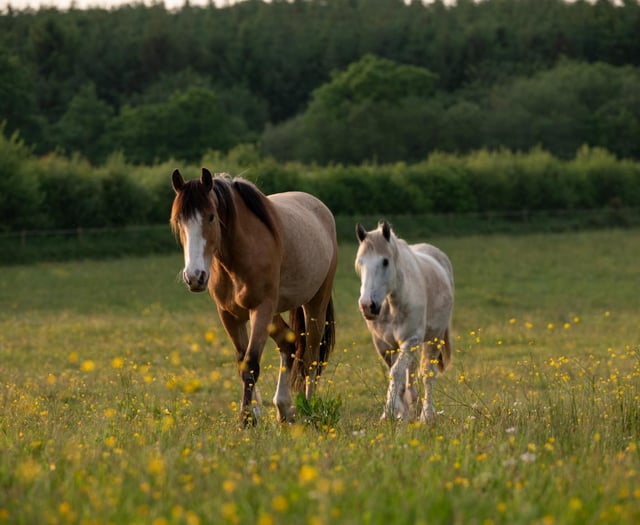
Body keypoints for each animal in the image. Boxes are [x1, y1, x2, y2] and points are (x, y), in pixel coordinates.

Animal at [171, 168, 338, 425]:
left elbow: (251, 364)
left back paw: (308, 407)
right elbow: (242, 361)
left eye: (211, 217)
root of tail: (321, 209)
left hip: (314, 302)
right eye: (179, 220)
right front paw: (253, 414)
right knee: (288, 342)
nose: (195, 276)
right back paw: (284, 407)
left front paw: (246, 419)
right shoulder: (229, 315)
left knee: (311, 356)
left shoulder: (261, 309)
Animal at [355, 220, 454, 423]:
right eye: (360, 262)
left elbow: (396, 372)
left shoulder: (410, 340)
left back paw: (426, 416)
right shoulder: (385, 345)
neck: (392, 304)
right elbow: (396, 375)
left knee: (428, 375)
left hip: (434, 339)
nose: (368, 305)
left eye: (385, 261)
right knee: (412, 373)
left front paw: (390, 411)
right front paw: (398, 413)